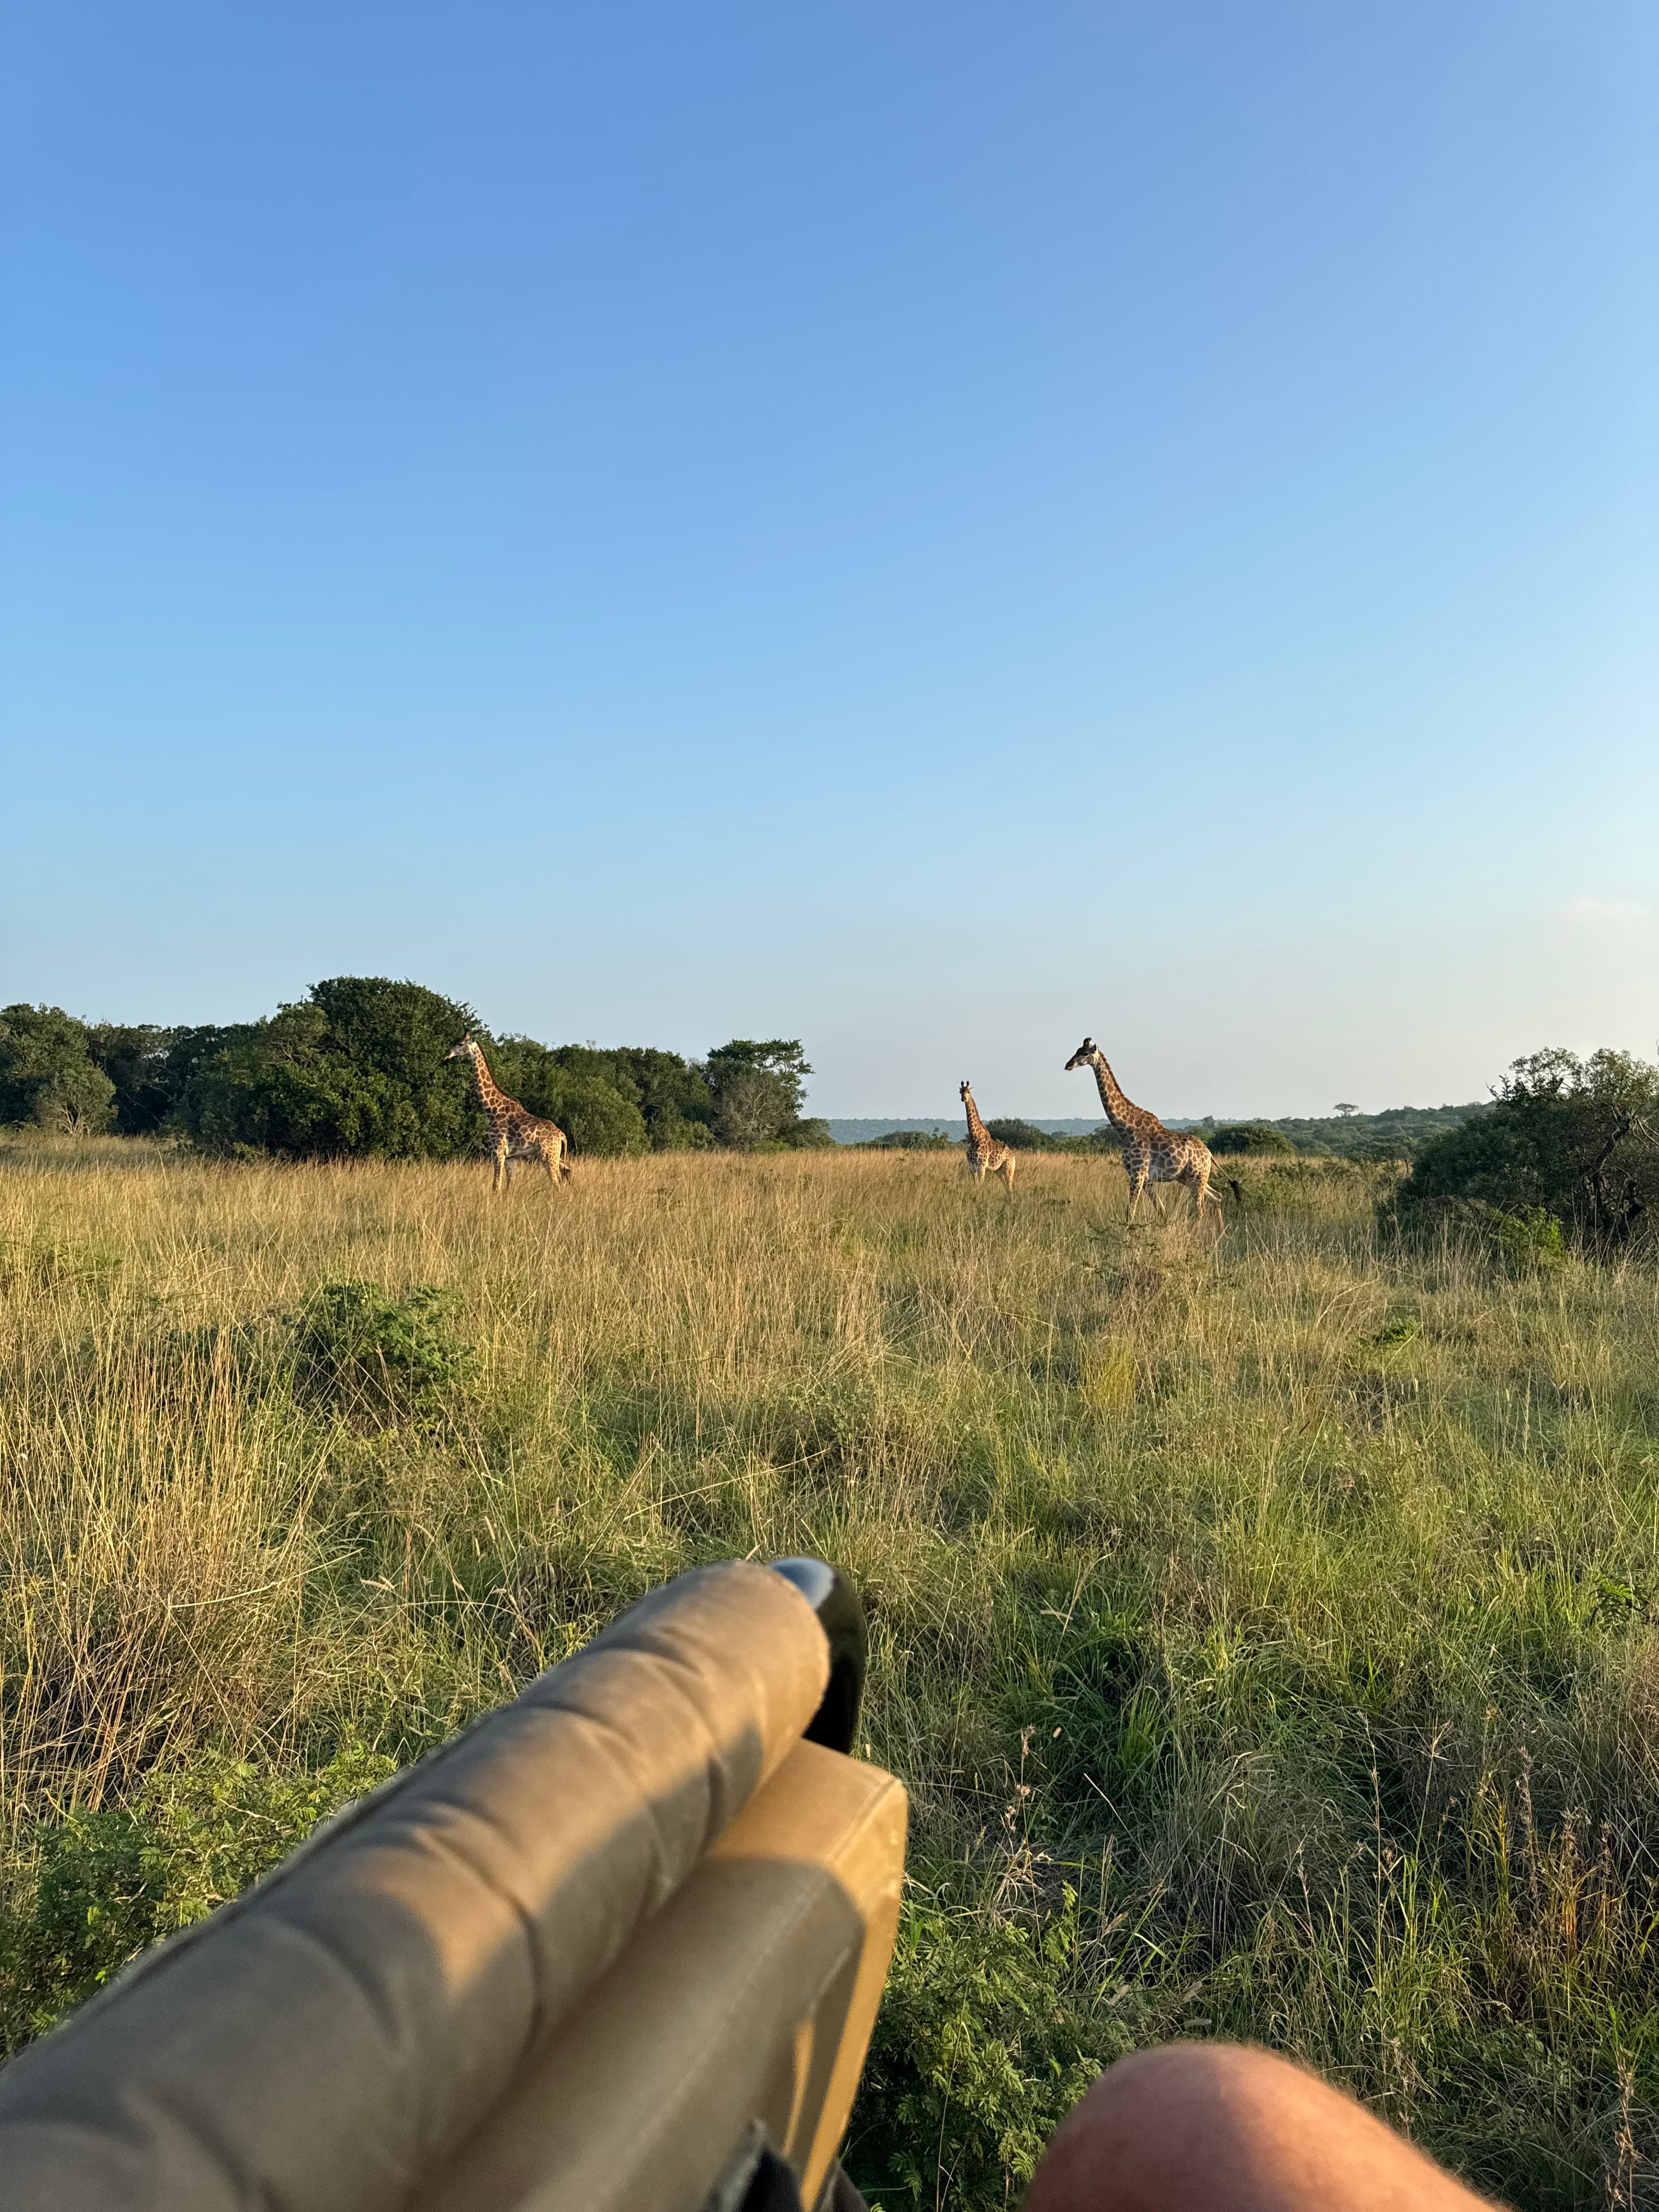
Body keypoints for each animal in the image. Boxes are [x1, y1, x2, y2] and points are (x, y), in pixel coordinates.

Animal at [447, 1034, 571, 1192]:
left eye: (460, 1043)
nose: (448, 1053)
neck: (491, 1107)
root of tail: (562, 1136)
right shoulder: (511, 1158)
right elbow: (508, 1186)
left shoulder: (498, 1150)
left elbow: (496, 1186)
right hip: (554, 1155)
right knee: (566, 1173)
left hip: (548, 1156)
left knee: (558, 1183)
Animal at [960, 1080, 1016, 1194]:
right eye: (960, 1092)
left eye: (968, 1091)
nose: (963, 1099)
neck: (974, 1138)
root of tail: (1014, 1156)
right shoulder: (972, 1167)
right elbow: (976, 1185)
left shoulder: (981, 1166)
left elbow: (980, 1185)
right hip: (999, 1171)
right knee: (1006, 1187)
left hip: (1009, 1169)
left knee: (1010, 1187)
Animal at [1064, 1036, 1222, 1227]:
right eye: (1077, 1050)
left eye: (1085, 1053)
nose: (1068, 1065)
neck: (1125, 1127)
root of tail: (1209, 1154)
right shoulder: (1146, 1179)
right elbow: (1162, 1213)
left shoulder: (1138, 1173)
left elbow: (1130, 1213)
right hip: (1188, 1177)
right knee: (1217, 1196)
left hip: (1196, 1177)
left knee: (1200, 1210)